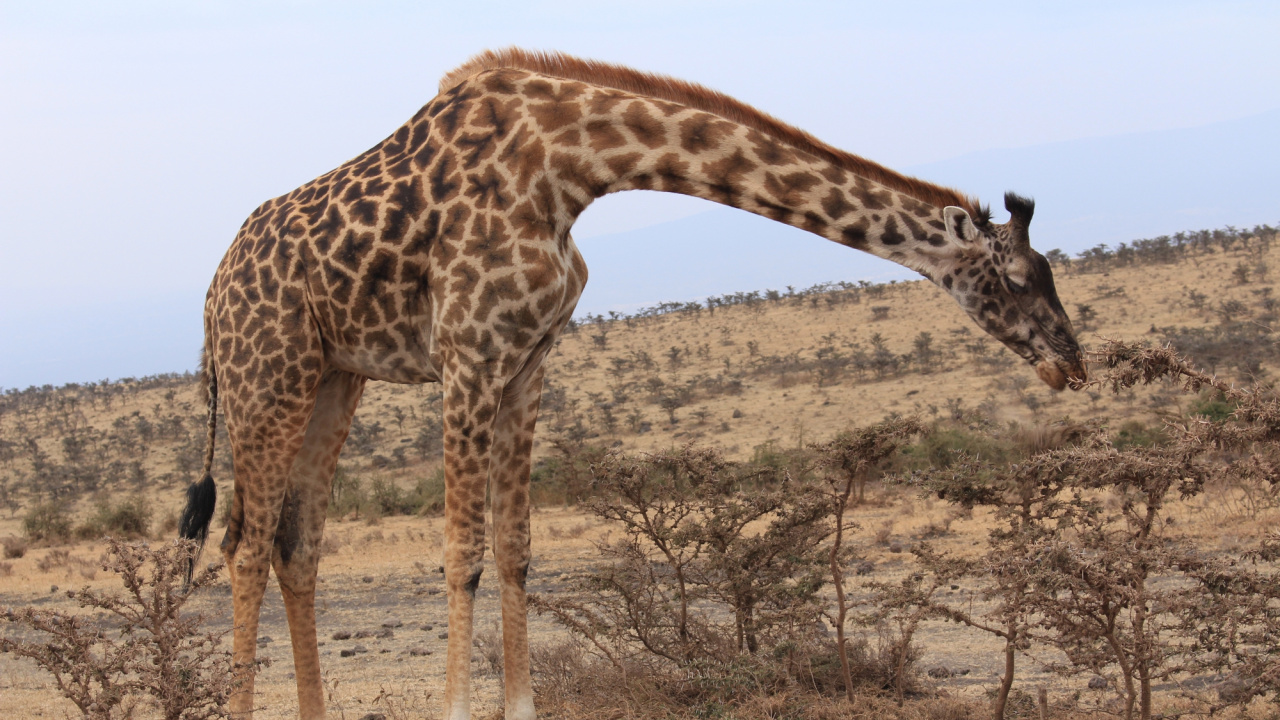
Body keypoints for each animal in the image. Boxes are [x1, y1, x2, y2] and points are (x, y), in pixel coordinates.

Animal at [178, 48, 1086, 720]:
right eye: (1018, 278)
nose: (1071, 363)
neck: (570, 166)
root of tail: (211, 301)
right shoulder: (467, 353)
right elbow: (461, 553)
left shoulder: (528, 359)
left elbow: (514, 548)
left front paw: (521, 708)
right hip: (268, 378)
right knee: (244, 547)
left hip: (333, 378)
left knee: (296, 544)